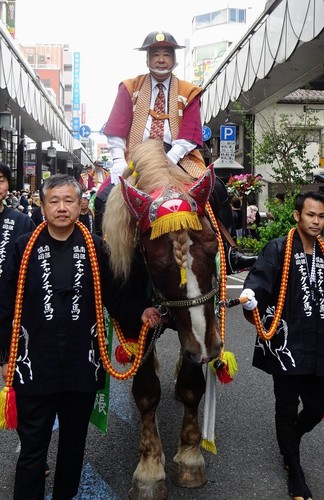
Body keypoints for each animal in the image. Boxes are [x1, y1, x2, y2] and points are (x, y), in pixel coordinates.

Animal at [102, 140, 221, 500]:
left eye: (213, 248)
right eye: (157, 263)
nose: (209, 349)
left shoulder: (198, 334)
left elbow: (192, 387)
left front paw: (190, 458)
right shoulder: (133, 318)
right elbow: (146, 392)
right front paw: (150, 469)